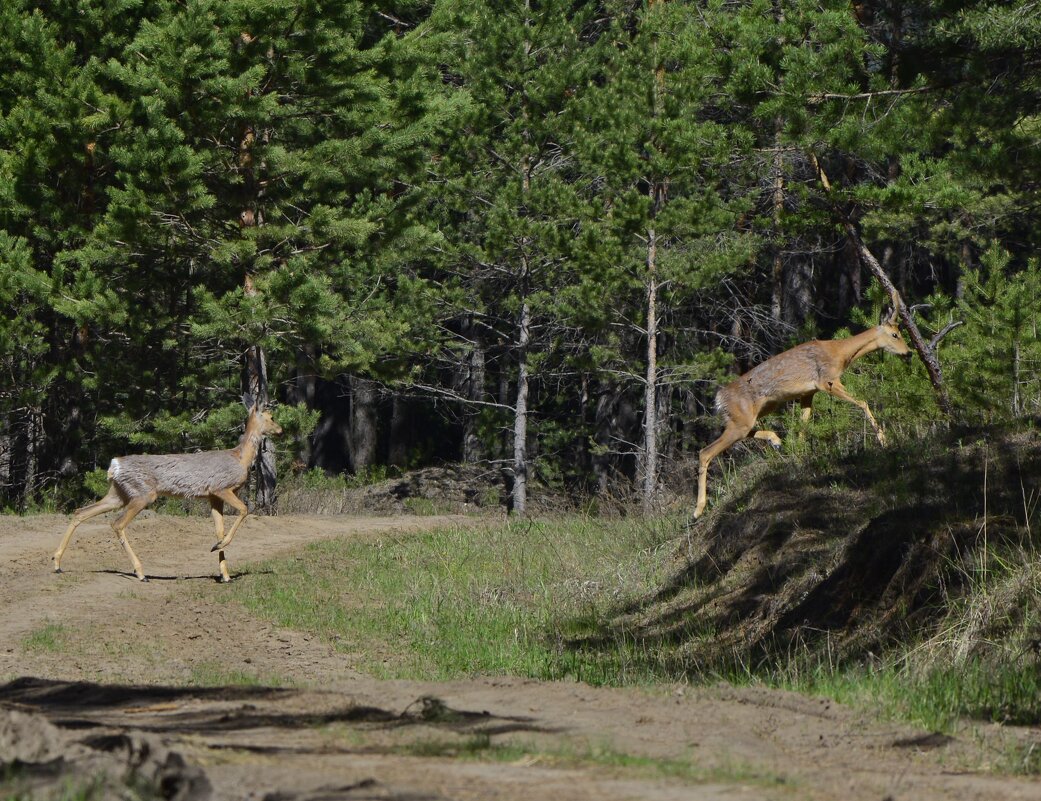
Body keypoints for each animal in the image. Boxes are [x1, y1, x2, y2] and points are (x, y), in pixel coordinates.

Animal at [52, 399, 281, 583]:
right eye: (271, 417)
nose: (280, 430)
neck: (240, 458)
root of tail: (114, 465)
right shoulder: (221, 487)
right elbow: (244, 509)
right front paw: (218, 550)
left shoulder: (212, 497)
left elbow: (219, 529)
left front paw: (224, 572)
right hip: (142, 494)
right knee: (116, 523)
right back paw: (141, 573)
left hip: (118, 494)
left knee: (81, 511)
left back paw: (57, 563)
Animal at [699, 299, 911, 518]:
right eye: (895, 334)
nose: (909, 352)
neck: (841, 353)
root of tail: (719, 399)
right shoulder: (827, 381)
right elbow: (863, 402)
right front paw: (883, 440)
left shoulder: (808, 393)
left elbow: (803, 424)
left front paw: (799, 454)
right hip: (741, 419)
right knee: (705, 452)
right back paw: (698, 510)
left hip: (753, 414)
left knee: (743, 434)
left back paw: (776, 440)